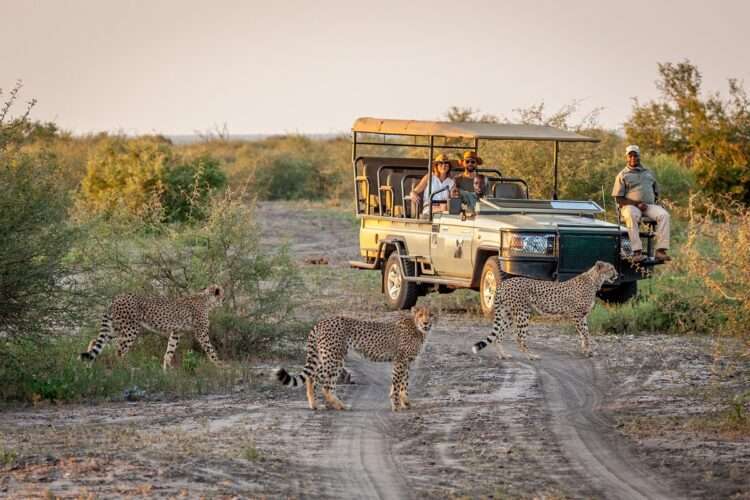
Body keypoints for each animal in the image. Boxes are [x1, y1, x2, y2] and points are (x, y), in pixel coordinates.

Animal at [81, 284, 226, 370]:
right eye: (223, 296)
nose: (224, 300)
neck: (206, 299)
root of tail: (116, 297)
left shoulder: (176, 332)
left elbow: (169, 350)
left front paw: (166, 370)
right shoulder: (201, 332)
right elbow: (211, 350)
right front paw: (221, 365)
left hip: (117, 327)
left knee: (96, 341)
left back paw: (88, 366)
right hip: (130, 329)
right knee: (119, 351)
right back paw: (127, 369)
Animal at [276, 306, 432, 412]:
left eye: (431, 315)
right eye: (421, 315)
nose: (426, 323)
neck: (417, 328)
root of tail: (322, 321)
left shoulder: (406, 362)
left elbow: (403, 384)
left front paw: (406, 402)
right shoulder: (400, 361)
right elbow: (398, 383)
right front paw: (396, 405)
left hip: (327, 356)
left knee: (314, 377)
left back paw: (315, 405)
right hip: (335, 358)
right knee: (323, 384)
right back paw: (340, 405)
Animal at [472, 262, 620, 360]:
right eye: (611, 268)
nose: (617, 274)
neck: (594, 280)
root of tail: (505, 283)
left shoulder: (582, 316)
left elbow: (584, 334)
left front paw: (586, 350)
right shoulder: (576, 315)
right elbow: (585, 334)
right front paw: (588, 351)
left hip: (507, 314)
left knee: (498, 336)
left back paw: (503, 355)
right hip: (523, 313)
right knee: (519, 337)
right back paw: (531, 356)